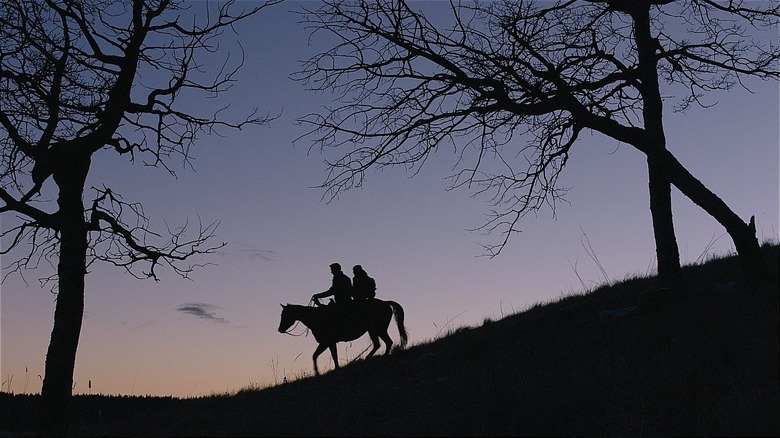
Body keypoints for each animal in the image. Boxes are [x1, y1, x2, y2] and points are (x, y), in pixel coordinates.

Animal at [278, 300, 408, 374]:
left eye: (284, 315)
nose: (280, 329)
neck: (317, 317)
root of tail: (385, 303)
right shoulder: (326, 343)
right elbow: (316, 355)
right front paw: (317, 372)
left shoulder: (328, 342)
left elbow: (333, 356)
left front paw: (335, 369)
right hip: (375, 330)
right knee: (381, 343)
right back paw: (371, 357)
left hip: (377, 329)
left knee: (385, 342)